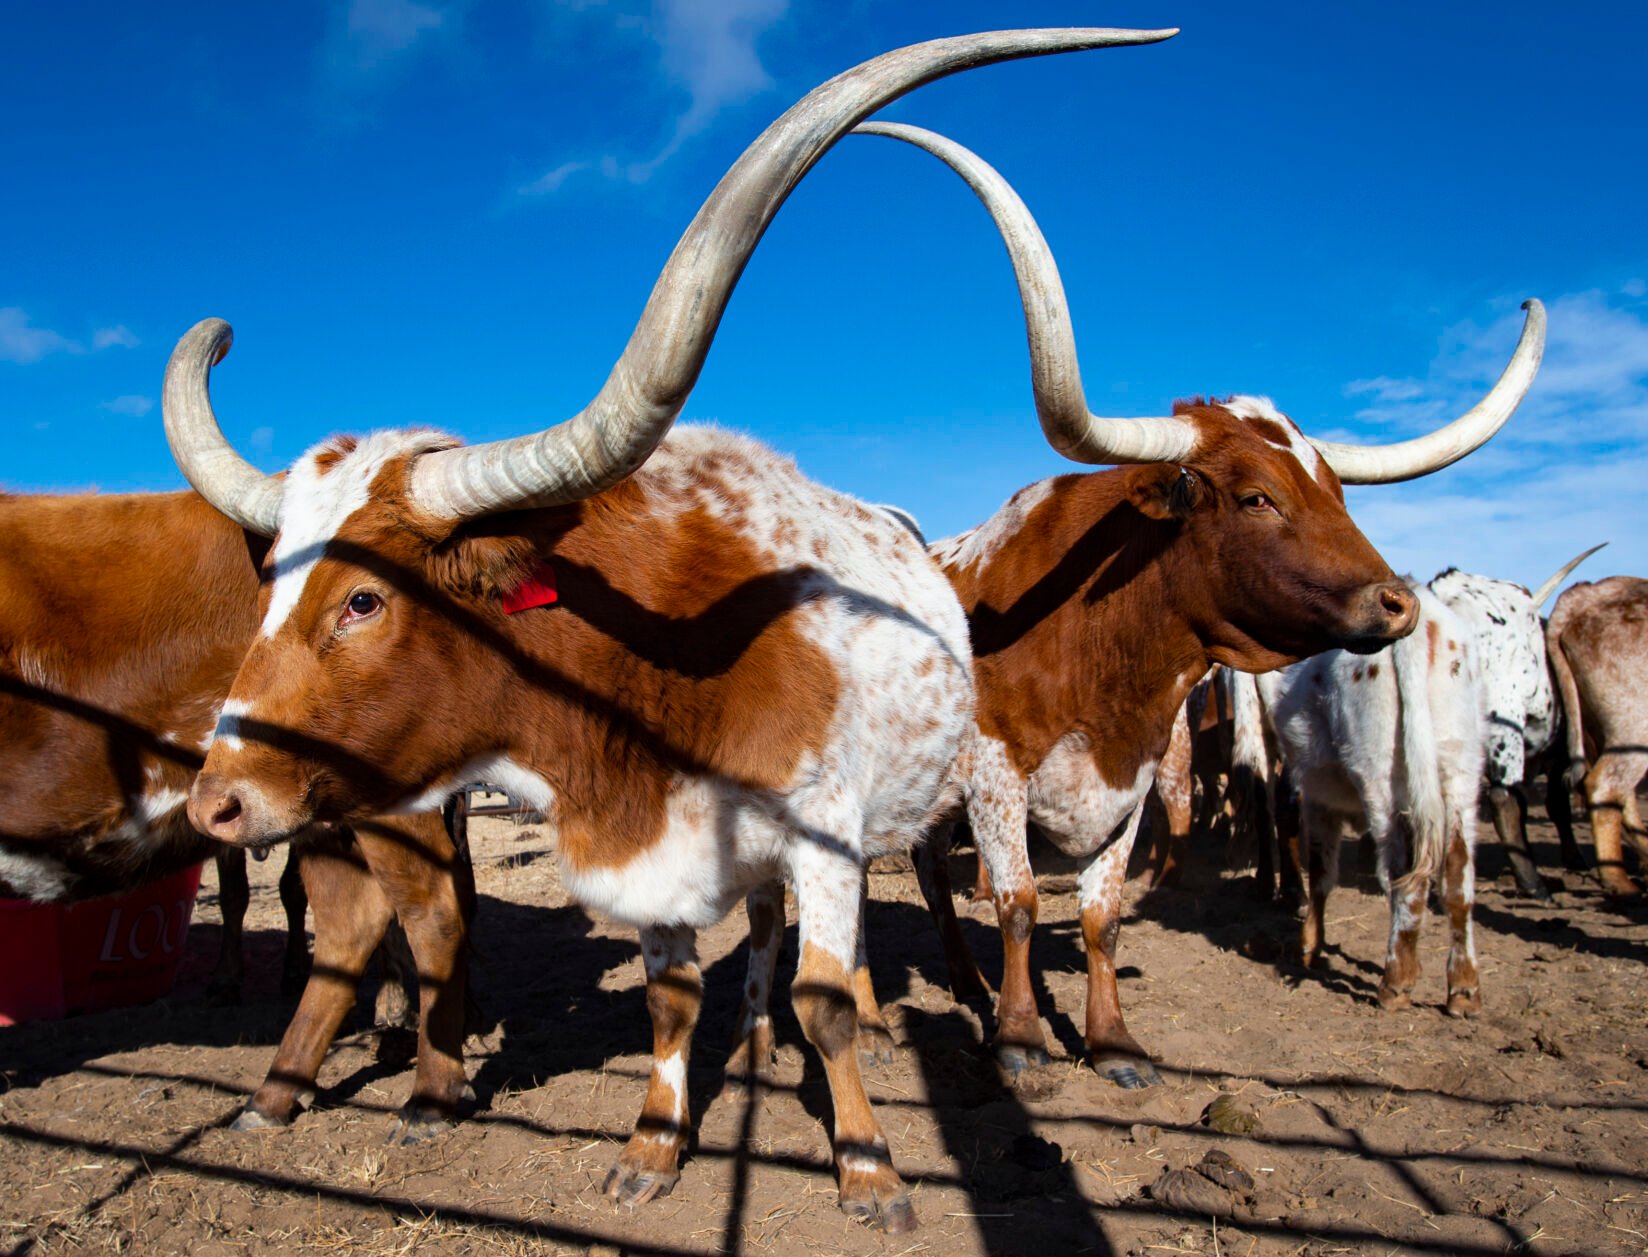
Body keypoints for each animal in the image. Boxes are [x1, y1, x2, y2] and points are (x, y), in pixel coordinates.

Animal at [149, 27, 1189, 1233]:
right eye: (269, 585)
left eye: (365, 599)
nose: (218, 802)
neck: (655, 684)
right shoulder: (655, 860)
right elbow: (671, 996)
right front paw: (655, 1140)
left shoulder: (824, 835)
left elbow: (827, 1000)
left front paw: (868, 1164)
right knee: (762, 942)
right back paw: (749, 1047)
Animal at [1259, 585, 1487, 1013]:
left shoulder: (1317, 796)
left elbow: (1321, 872)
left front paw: (1309, 946)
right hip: (1461, 770)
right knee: (1458, 878)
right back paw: (1464, 989)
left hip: (1380, 774)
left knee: (1403, 876)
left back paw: (1396, 982)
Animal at [1428, 545, 1604, 896]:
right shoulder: (1556, 756)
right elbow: (1555, 806)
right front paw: (1574, 859)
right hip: (1502, 719)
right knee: (1500, 798)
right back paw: (1533, 884)